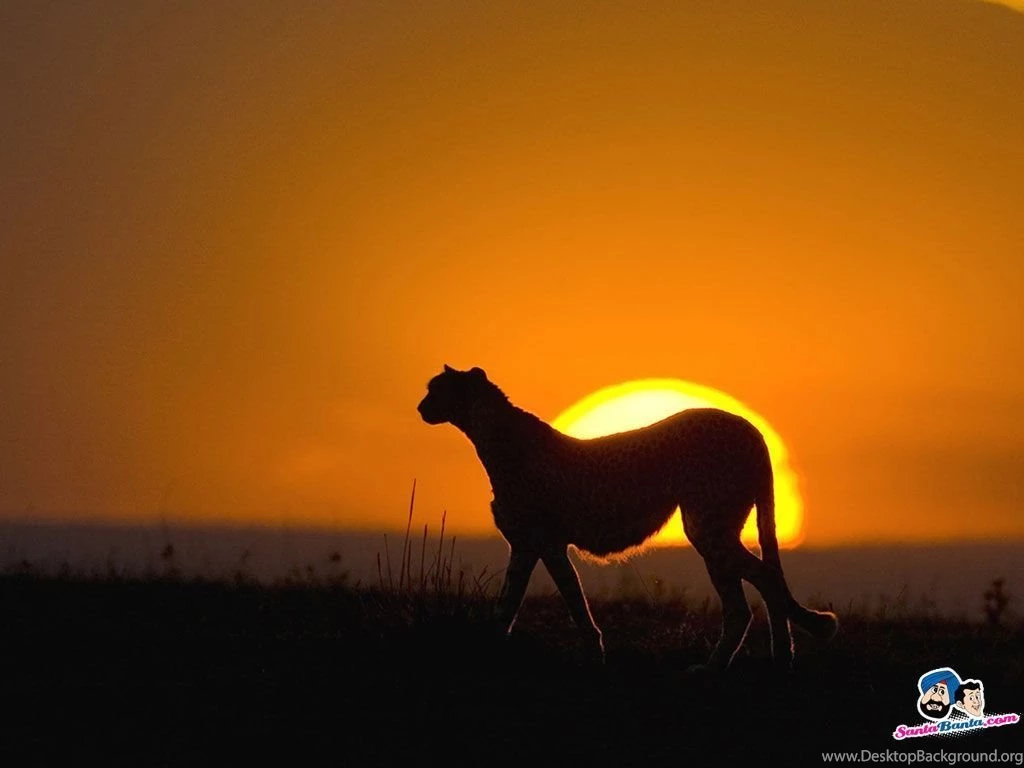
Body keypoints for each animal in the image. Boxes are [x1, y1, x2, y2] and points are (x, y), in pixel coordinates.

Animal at [417, 364, 838, 671]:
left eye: (435, 389)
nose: (421, 407)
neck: (491, 435)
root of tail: (748, 425)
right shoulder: (532, 546)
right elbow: (520, 602)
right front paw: (495, 648)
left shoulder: (542, 543)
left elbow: (559, 601)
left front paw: (591, 655)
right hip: (719, 528)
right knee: (760, 585)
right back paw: (778, 658)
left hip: (708, 527)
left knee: (754, 589)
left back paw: (718, 666)